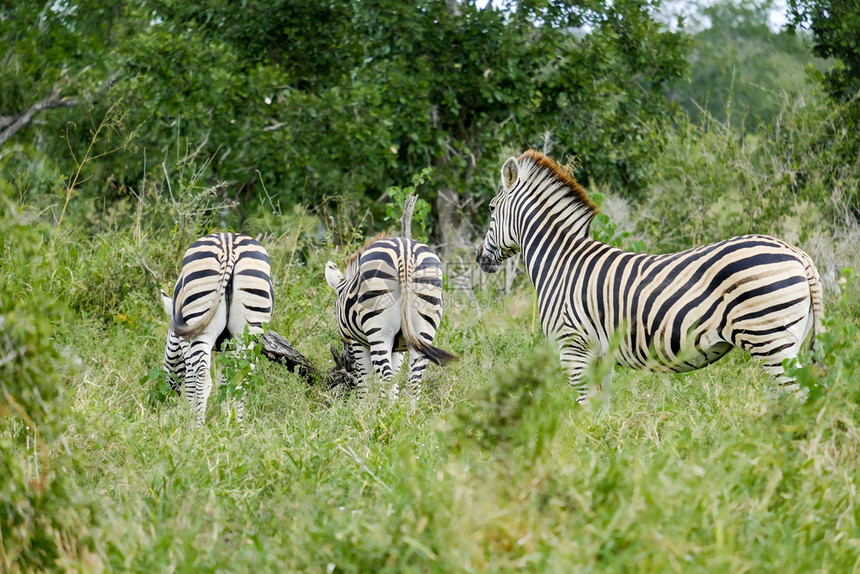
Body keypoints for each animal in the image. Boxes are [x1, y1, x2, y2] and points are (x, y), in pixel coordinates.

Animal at [159, 232, 272, 426]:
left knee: (203, 377)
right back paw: (239, 427)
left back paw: (197, 427)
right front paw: (225, 419)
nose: (170, 394)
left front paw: (190, 416)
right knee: (242, 378)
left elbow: (192, 379)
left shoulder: (185, 340)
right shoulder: (230, 345)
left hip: (201, 328)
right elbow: (224, 379)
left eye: (167, 344)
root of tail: (229, 248)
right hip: (251, 330)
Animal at [322, 236, 456, 402]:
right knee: (413, 383)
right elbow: (395, 382)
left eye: (335, 311)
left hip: (380, 332)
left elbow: (364, 383)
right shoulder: (398, 349)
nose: (347, 364)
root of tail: (405, 253)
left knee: (386, 381)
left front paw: (362, 407)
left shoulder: (358, 343)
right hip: (424, 330)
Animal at [478, 153, 828, 404]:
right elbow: (600, 410)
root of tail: (797, 253)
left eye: (492, 210)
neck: (560, 263)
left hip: (769, 339)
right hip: (789, 339)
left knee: (800, 397)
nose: (480, 258)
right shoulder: (600, 355)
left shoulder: (573, 348)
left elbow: (584, 407)